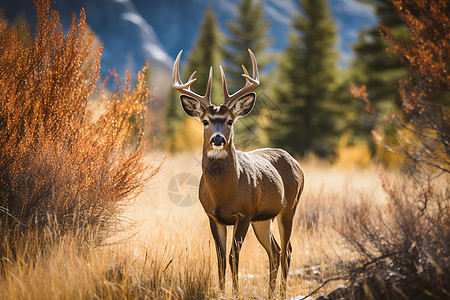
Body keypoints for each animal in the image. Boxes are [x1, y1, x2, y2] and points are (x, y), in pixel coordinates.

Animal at [172, 48, 306, 298]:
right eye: (205, 121)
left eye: (230, 121)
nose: (217, 139)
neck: (224, 195)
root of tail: (295, 162)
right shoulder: (213, 216)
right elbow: (220, 259)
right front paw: (222, 291)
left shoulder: (244, 213)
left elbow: (234, 256)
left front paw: (234, 293)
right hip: (263, 218)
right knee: (275, 250)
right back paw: (271, 293)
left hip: (289, 208)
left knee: (287, 249)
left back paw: (282, 293)